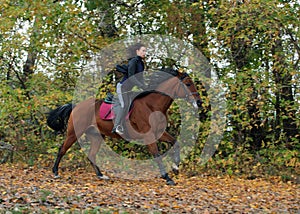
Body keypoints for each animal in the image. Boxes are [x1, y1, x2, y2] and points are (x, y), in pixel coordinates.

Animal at [47, 69, 202, 186]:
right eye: (188, 84)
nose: (199, 103)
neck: (153, 106)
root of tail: (76, 106)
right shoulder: (149, 136)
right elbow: (157, 156)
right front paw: (167, 178)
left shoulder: (159, 133)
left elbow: (175, 142)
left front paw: (175, 168)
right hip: (74, 132)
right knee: (62, 149)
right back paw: (55, 172)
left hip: (96, 135)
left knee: (91, 154)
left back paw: (101, 175)